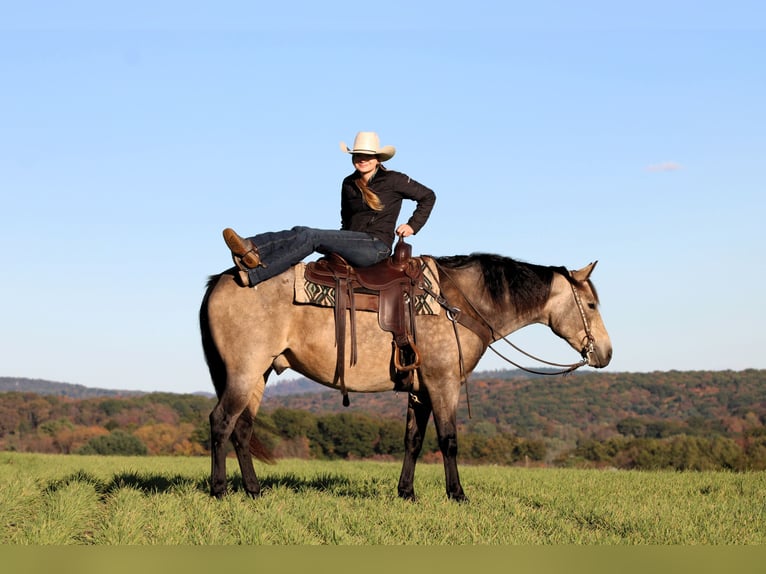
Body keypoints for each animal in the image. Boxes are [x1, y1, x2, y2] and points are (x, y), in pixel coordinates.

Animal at [199, 252, 612, 501]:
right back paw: (219, 490)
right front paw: (457, 494)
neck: (458, 304)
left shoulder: (421, 390)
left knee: (242, 428)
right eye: (591, 304)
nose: (605, 353)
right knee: (221, 422)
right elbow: (448, 440)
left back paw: (254, 490)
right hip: (244, 372)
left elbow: (412, 440)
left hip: (259, 375)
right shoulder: (443, 383)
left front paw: (406, 492)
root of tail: (220, 280)